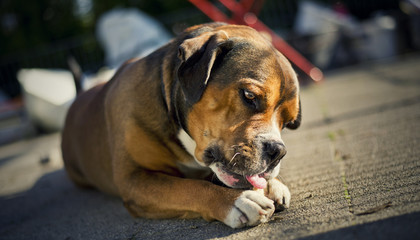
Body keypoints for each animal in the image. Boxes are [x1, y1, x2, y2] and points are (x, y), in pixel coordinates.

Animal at [61, 23, 298, 229]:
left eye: (288, 122)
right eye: (249, 95)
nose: (278, 151)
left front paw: (273, 184)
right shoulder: (134, 180)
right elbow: (186, 187)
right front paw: (236, 201)